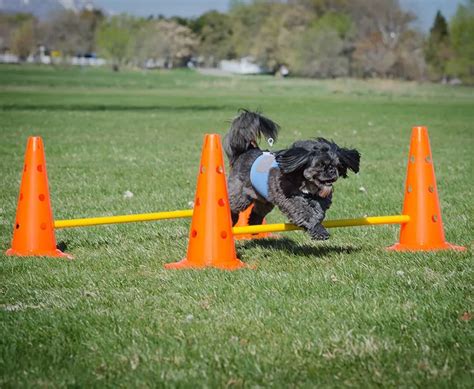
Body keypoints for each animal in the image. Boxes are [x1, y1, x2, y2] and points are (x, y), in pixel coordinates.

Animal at [223, 109, 360, 239]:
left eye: (337, 165)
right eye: (320, 165)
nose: (332, 171)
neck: (304, 180)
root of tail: (247, 150)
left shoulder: (321, 197)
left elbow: (319, 209)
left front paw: (316, 221)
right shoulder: (289, 198)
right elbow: (304, 211)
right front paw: (318, 230)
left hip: (265, 199)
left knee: (257, 211)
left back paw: (254, 225)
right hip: (240, 196)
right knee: (234, 206)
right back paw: (232, 219)